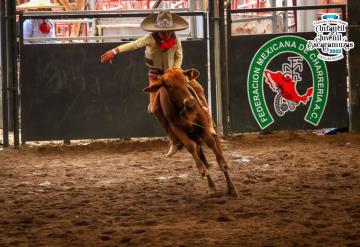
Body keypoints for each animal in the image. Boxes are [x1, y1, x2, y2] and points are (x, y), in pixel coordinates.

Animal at [143, 67, 239, 197]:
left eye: (184, 80)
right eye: (169, 85)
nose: (190, 101)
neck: (185, 109)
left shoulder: (202, 122)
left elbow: (210, 142)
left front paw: (222, 163)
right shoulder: (176, 128)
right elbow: (190, 146)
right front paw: (202, 170)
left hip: (210, 130)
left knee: (216, 145)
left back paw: (231, 186)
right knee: (200, 156)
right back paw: (212, 187)